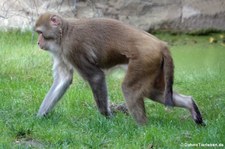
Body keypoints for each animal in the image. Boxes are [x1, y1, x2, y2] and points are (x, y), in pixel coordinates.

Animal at [34, 12, 204, 125]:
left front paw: (107, 117)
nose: (38, 42)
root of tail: (161, 44)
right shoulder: (62, 53)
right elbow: (63, 79)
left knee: (130, 89)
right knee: (153, 91)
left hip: (144, 59)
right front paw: (39, 117)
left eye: (41, 33)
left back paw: (143, 127)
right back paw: (190, 104)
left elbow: (96, 77)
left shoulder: (72, 48)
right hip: (154, 64)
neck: (64, 33)